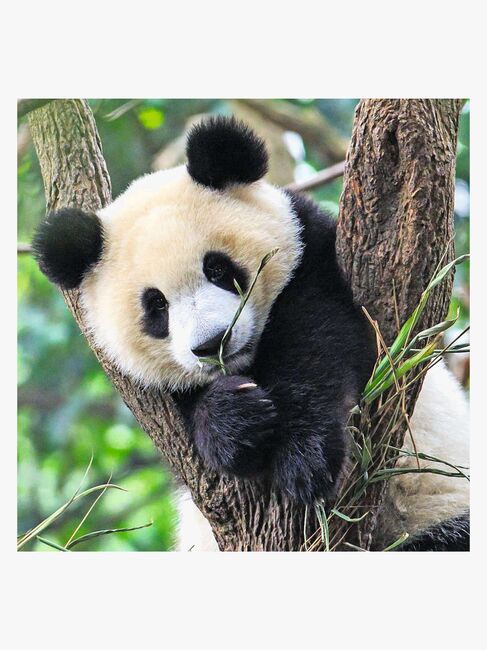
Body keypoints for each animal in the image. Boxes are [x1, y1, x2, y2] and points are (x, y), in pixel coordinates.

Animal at [33, 116, 470, 552]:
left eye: (218, 269)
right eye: (156, 305)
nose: (213, 343)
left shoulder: (314, 257)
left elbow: (320, 341)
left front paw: (305, 459)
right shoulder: (155, 399)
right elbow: (188, 420)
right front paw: (234, 420)